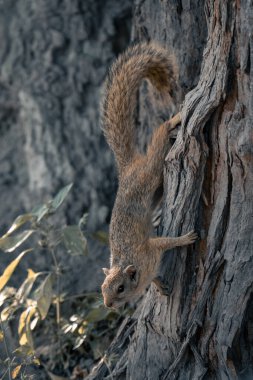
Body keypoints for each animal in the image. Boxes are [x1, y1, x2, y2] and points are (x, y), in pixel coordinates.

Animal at [101, 42, 198, 308]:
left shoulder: (148, 250)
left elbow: (165, 242)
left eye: (120, 288)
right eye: (102, 288)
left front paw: (185, 239)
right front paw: (160, 286)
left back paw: (176, 118)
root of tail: (127, 169)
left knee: (160, 133)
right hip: (155, 188)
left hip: (151, 170)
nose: (108, 305)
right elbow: (154, 278)